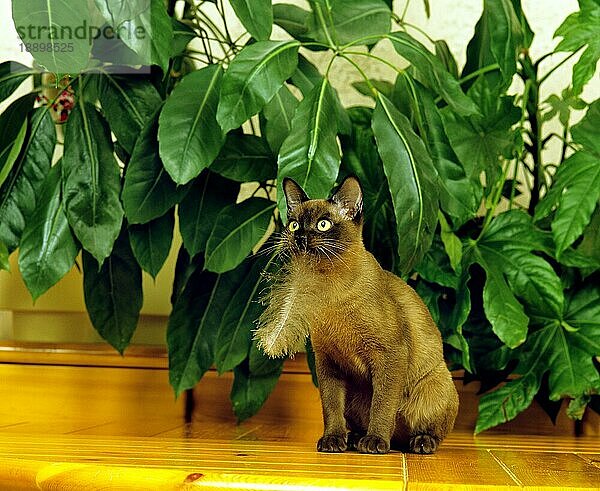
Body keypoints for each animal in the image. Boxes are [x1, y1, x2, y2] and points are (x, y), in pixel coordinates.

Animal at [254, 175, 460, 456]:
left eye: (323, 225)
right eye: (295, 224)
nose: (301, 238)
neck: (328, 289)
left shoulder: (389, 355)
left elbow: (382, 406)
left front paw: (375, 442)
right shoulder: (327, 362)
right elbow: (331, 407)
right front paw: (332, 440)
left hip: (435, 383)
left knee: (424, 431)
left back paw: (414, 442)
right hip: (354, 393)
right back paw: (353, 438)